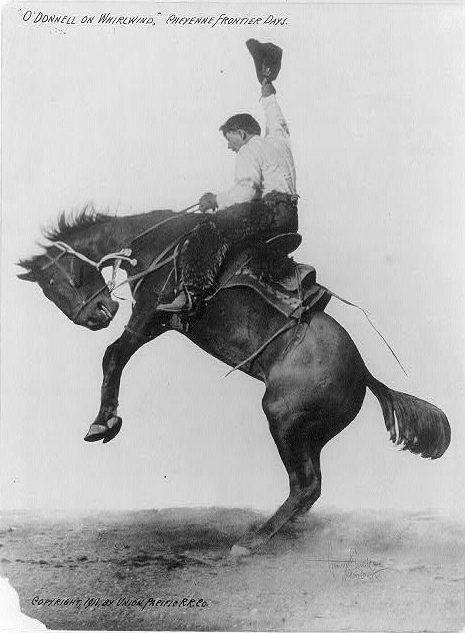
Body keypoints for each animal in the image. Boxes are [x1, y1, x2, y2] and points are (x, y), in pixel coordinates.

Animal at [18, 207, 450, 552]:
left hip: (282, 417)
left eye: (53, 282)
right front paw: (107, 420)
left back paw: (251, 541)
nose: (97, 316)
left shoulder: (148, 314)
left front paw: (103, 423)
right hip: (311, 432)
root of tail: (364, 374)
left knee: (304, 484)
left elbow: (113, 356)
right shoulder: (158, 324)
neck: (158, 243)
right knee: (311, 486)